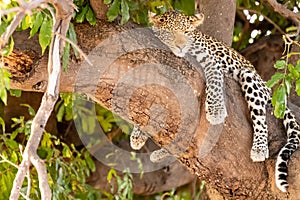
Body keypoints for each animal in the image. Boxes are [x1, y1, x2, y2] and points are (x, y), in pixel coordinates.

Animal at [129, 10, 300, 192]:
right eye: (170, 33)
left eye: (186, 32)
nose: (181, 46)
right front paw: (138, 134)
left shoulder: (211, 60)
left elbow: (215, 81)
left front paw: (216, 111)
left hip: (250, 78)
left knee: (260, 117)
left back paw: (259, 148)